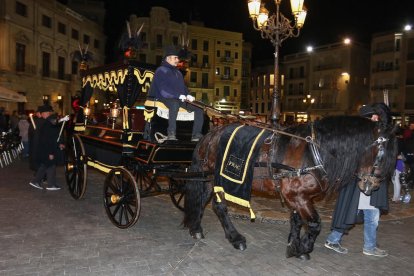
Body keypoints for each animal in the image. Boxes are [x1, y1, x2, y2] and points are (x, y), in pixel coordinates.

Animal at [183, 115, 396, 260]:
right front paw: (301, 248)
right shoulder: (297, 195)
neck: (312, 151)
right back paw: (235, 238)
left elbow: (296, 221)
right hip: (218, 178)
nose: (372, 186)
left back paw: (196, 228)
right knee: (219, 207)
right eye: (382, 157)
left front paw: (294, 244)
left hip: (210, 179)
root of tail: (211, 134)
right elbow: (314, 224)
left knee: (204, 201)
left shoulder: (300, 196)